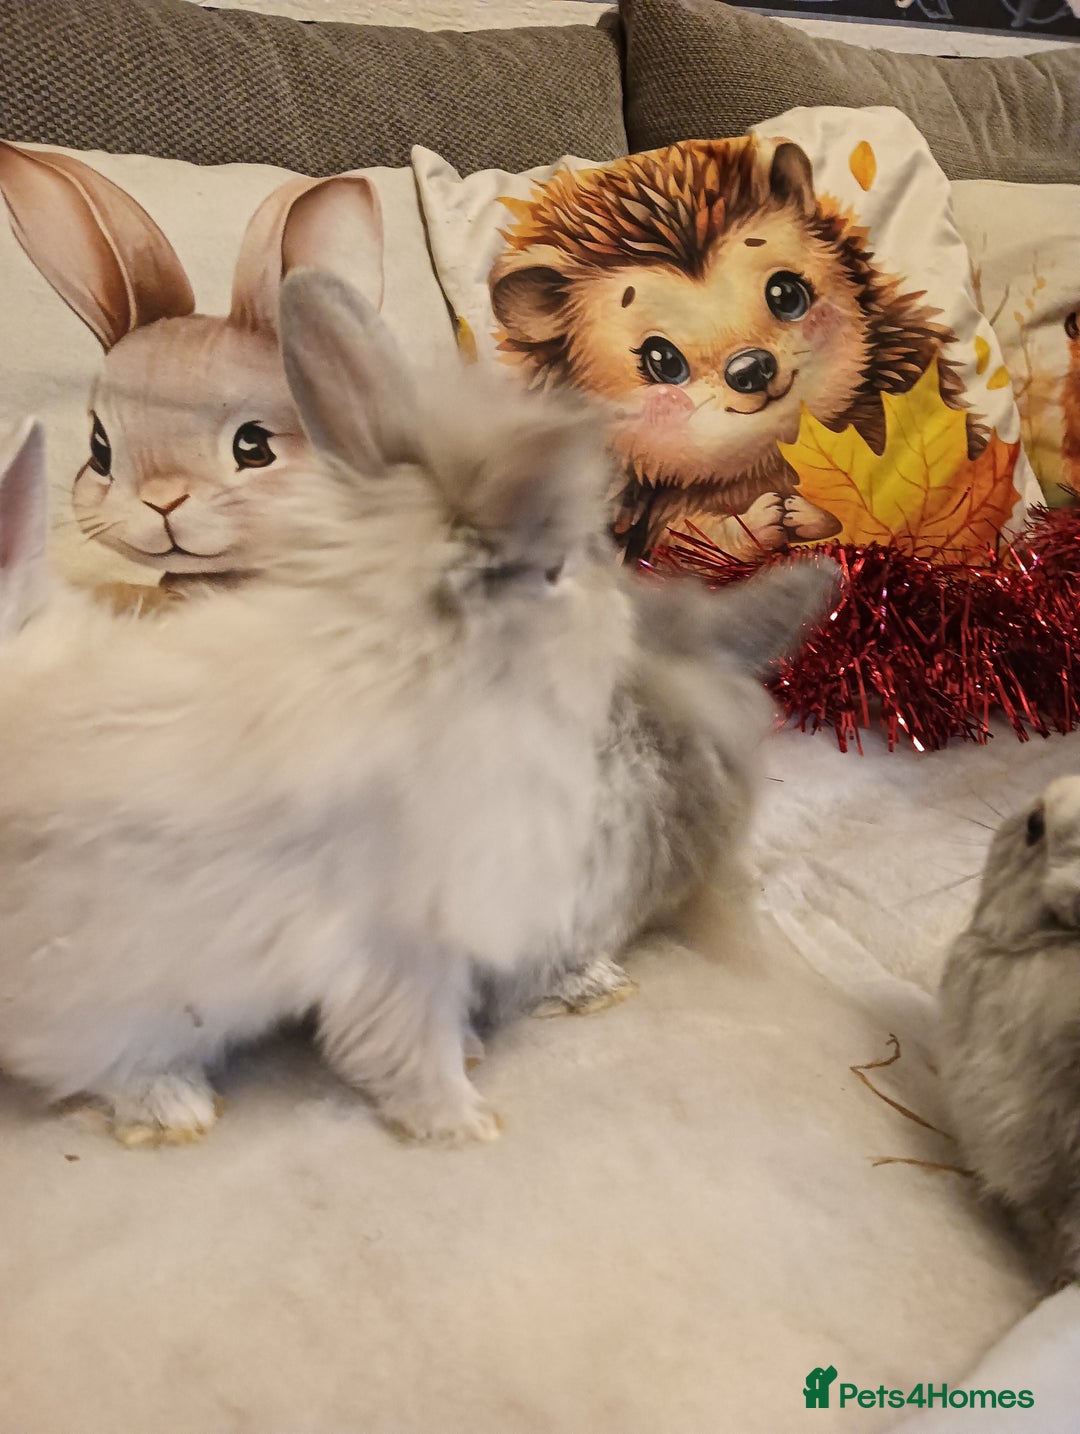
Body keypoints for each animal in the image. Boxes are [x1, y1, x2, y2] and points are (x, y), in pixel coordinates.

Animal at [0, 270, 834, 1150]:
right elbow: (407, 1043)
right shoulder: (409, 949)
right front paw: (466, 1123)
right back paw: (175, 1107)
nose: (625, 616)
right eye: (561, 569)